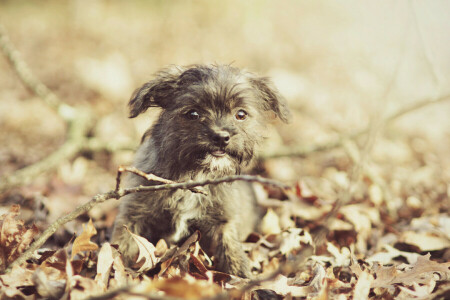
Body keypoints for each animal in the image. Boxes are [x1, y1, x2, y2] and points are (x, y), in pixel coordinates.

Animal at [112, 64, 288, 278]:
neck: (195, 173)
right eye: (193, 114)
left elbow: (231, 250)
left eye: (241, 114)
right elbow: (121, 245)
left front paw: (241, 277)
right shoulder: (134, 214)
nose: (221, 137)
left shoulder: (223, 222)